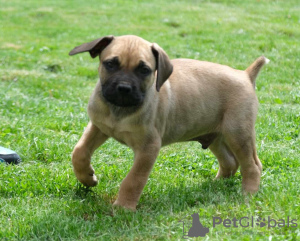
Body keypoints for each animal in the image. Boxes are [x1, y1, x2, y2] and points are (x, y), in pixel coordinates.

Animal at [69, 34, 268, 210]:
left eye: (144, 70)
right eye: (110, 64)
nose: (124, 89)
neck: (119, 111)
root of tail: (246, 75)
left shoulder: (148, 147)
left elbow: (133, 179)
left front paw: (124, 207)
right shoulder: (98, 127)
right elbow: (79, 151)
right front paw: (87, 177)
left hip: (238, 133)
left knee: (252, 165)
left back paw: (248, 193)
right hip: (216, 135)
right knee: (230, 162)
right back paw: (215, 185)